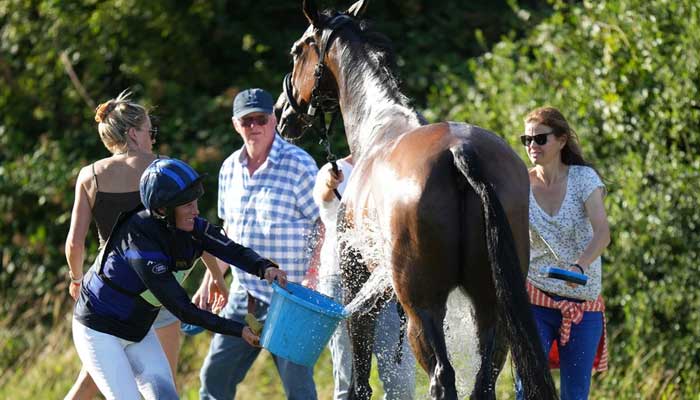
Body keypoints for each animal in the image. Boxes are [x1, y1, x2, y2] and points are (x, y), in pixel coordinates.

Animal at [276, 1, 556, 398]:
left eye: (297, 51)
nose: (281, 112)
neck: (378, 126)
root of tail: (460, 151)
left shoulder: (357, 282)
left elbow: (361, 375)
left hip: (422, 311)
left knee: (442, 376)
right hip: (490, 306)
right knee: (483, 379)